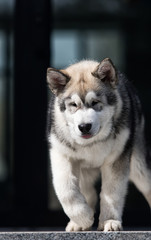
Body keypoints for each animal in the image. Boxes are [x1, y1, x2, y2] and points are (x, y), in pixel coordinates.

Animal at [46, 57, 151, 232]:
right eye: (73, 105)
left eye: (95, 102)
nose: (84, 126)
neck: (91, 143)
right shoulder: (61, 154)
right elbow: (66, 189)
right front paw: (83, 217)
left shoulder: (116, 159)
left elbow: (112, 193)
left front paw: (110, 220)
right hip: (84, 170)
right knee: (87, 190)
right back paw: (78, 221)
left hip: (138, 167)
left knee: (146, 183)